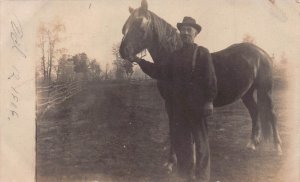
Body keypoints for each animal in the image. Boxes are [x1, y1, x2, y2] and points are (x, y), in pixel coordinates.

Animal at [119, 0, 282, 172]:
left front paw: (186, 161)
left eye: (140, 25)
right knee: (255, 111)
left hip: (266, 90)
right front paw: (172, 162)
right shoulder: (170, 104)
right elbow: (172, 129)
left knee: (272, 114)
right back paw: (252, 143)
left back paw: (278, 148)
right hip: (247, 93)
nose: (123, 51)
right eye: (125, 26)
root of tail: (261, 52)